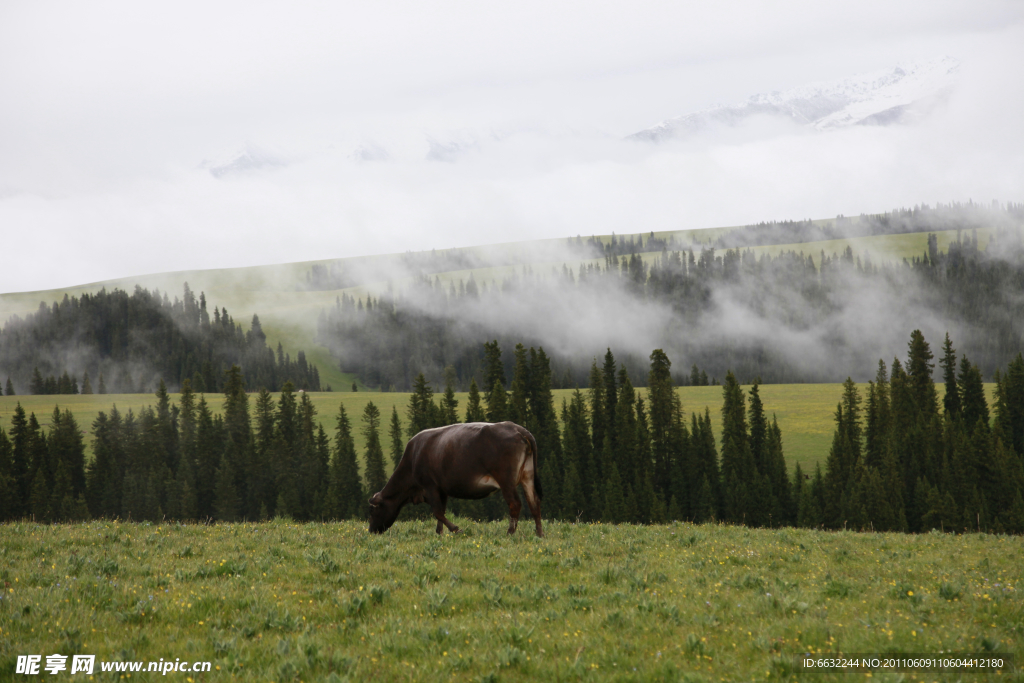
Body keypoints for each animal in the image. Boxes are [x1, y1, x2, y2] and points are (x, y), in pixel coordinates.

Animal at [368, 421, 544, 540]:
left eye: (373, 511)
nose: (371, 531)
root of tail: (518, 428)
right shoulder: (442, 489)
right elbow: (442, 512)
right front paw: (439, 533)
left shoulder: (429, 485)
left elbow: (438, 512)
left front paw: (456, 529)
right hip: (527, 476)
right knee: (534, 502)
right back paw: (539, 533)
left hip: (506, 479)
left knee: (515, 503)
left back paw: (510, 533)